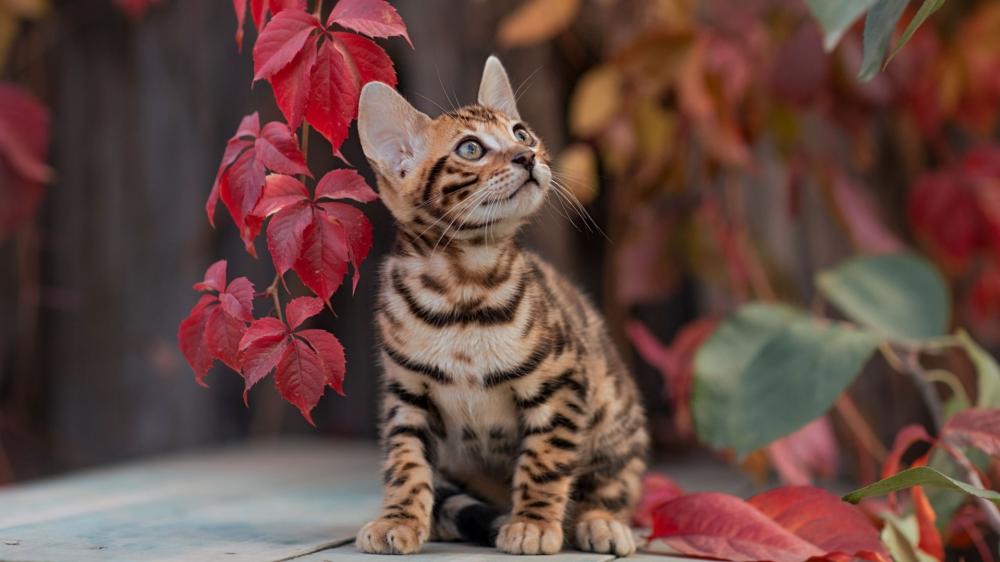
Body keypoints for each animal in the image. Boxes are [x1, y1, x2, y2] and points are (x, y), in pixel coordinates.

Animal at [352, 54, 648, 552]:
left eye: (521, 133)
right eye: (470, 149)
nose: (527, 156)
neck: (462, 291)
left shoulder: (560, 383)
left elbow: (544, 462)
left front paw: (533, 524)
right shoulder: (407, 395)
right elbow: (406, 463)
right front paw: (399, 519)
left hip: (615, 415)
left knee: (614, 483)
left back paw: (600, 520)